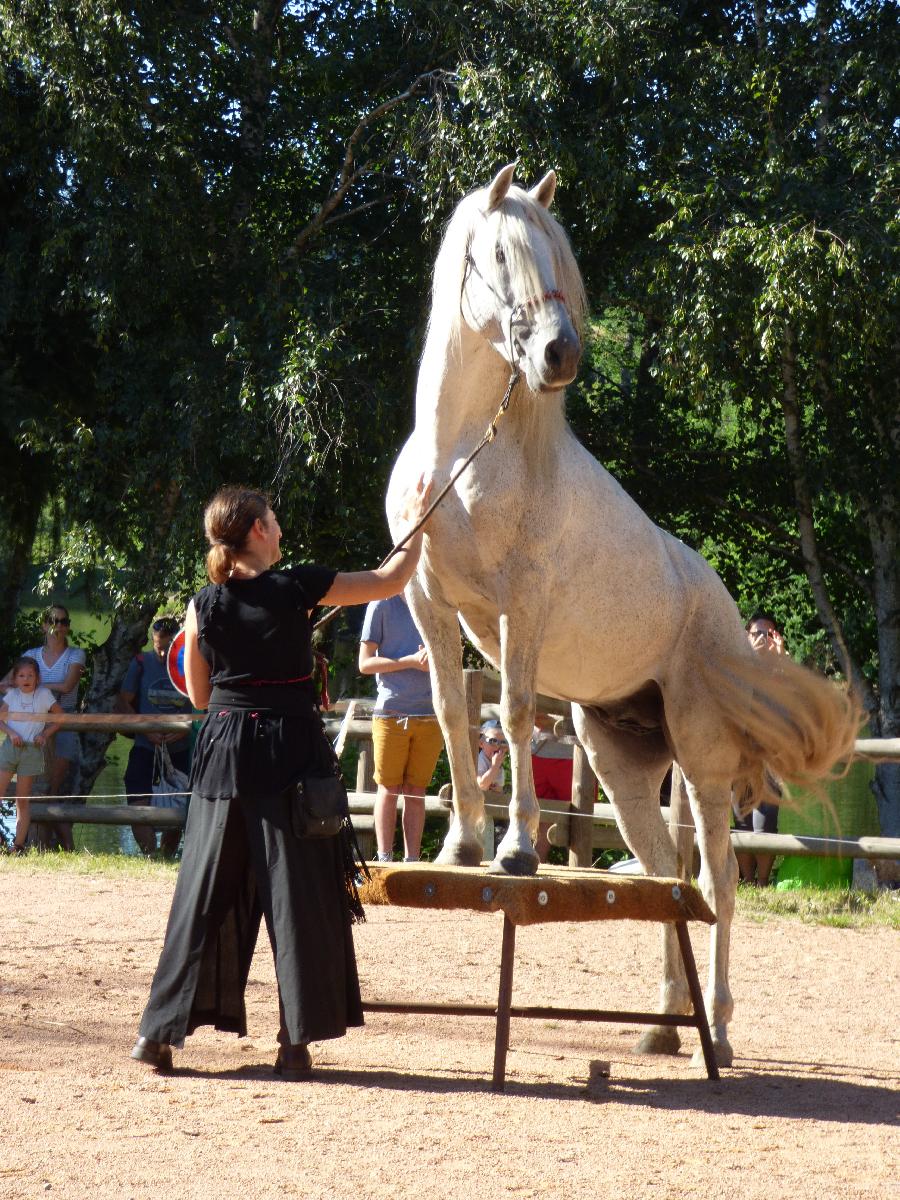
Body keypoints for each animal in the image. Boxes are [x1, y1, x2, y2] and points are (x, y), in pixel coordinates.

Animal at [388, 162, 859, 1070]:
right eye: (499, 254)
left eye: (555, 258)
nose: (559, 353)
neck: (463, 455)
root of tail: (722, 613)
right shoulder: (428, 602)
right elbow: (453, 714)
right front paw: (461, 845)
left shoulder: (521, 607)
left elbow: (512, 712)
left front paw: (515, 850)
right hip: (624, 767)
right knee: (664, 877)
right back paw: (664, 1025)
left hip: (705, 766)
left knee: (714, 882)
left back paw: (719, 1025)